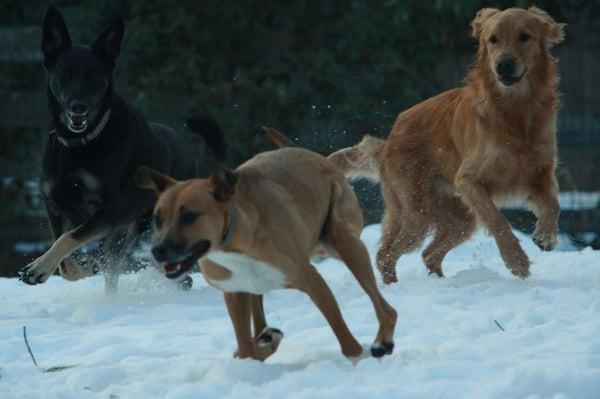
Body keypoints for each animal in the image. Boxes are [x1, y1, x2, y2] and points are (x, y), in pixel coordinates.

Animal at [18, 7, 226, 294]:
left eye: (93, 76)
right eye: (65, 74)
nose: (78, 107)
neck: (80, 144)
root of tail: (193, 160)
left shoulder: (109, 213)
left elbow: (69, 238)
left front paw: (38, 268)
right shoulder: (54, 204)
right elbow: (65, 257)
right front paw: (76, 270)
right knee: (118, 264)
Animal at [137, 130, 398, 360]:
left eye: (189, 216)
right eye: (157, 218)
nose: (158, 250)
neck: (233, 244)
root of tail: (316, 156)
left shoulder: (311, 279)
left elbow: (343, 336)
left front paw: (357, 357)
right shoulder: (235, 292)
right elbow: (246, 349)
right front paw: (259, 348)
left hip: (344, 242)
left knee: (386, 309)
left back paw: (382, 341)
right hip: (259, 283)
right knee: (258, 316)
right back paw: (265, 336)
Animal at [328, 7, 564, 286]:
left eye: (524, 36)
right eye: (492, 40)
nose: (503, 65)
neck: (515, 110)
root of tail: (388, 143)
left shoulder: (540, 174)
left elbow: (554, 204)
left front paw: (546, 236)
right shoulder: (469, 180)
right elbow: (497, 220)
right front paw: (516, 261)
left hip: (458, 219)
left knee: (427, 253)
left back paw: (438, 282)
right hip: (418, 213)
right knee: (387, 254)